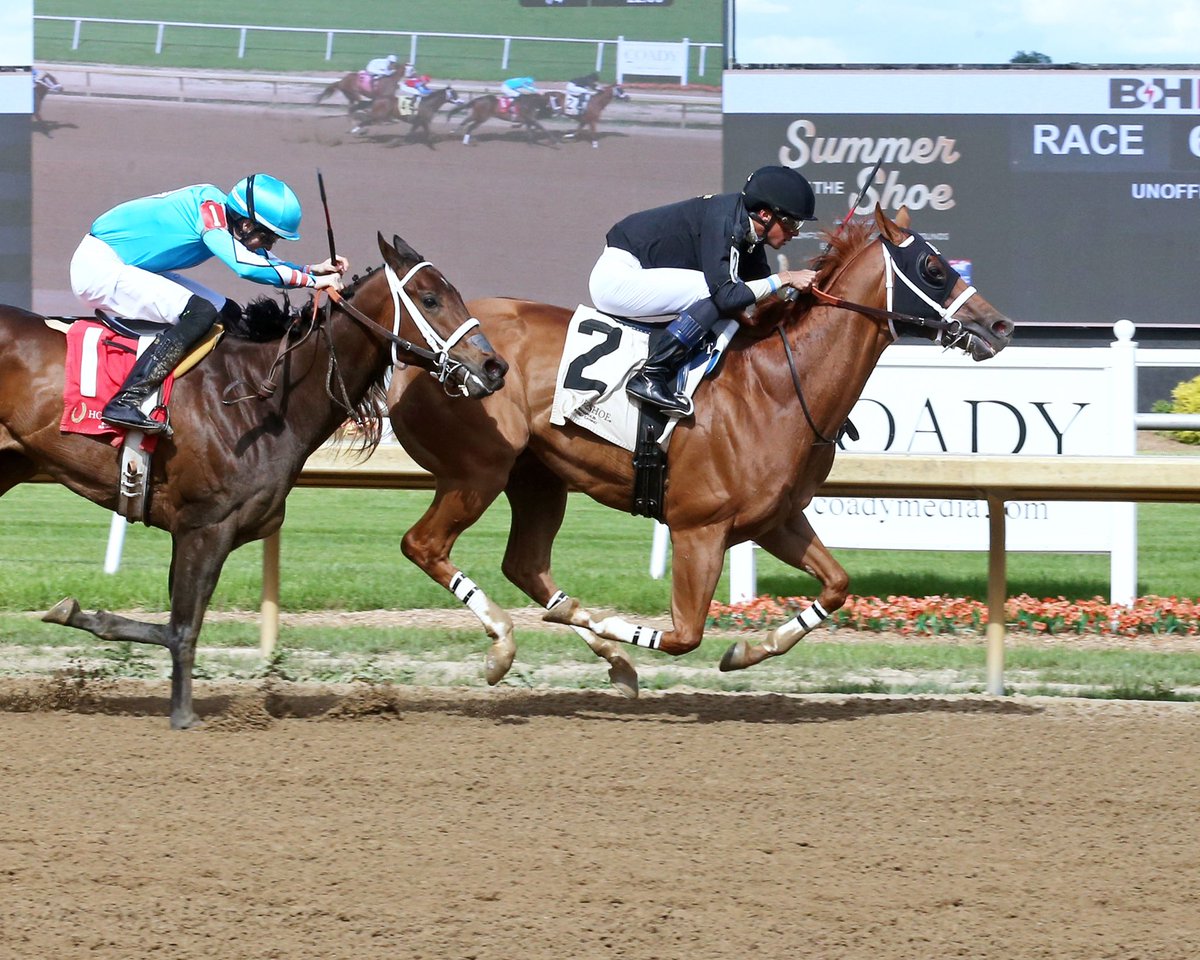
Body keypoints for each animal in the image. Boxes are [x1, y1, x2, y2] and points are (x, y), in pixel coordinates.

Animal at [0, 234, 506, 729]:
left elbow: (176, 623)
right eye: (430, 298)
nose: (494, 366)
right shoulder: (206, 526)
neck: (259, 399)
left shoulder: (202, 531)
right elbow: (181, 627)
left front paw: (79, 614)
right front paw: (182, 715)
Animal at [388, 206, 1017, 696]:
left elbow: (837, 586)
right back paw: (507, 647)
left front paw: (746, 651)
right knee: (425, 545)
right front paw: (620, 629)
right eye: (934, 269)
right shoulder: (699, 529)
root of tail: (418, 355)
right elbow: (683, 634)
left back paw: (603, 655)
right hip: (479, 469)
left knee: (525, 565)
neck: (778, 385)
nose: (1000, 325)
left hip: (538, 477)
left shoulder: (776, 520)